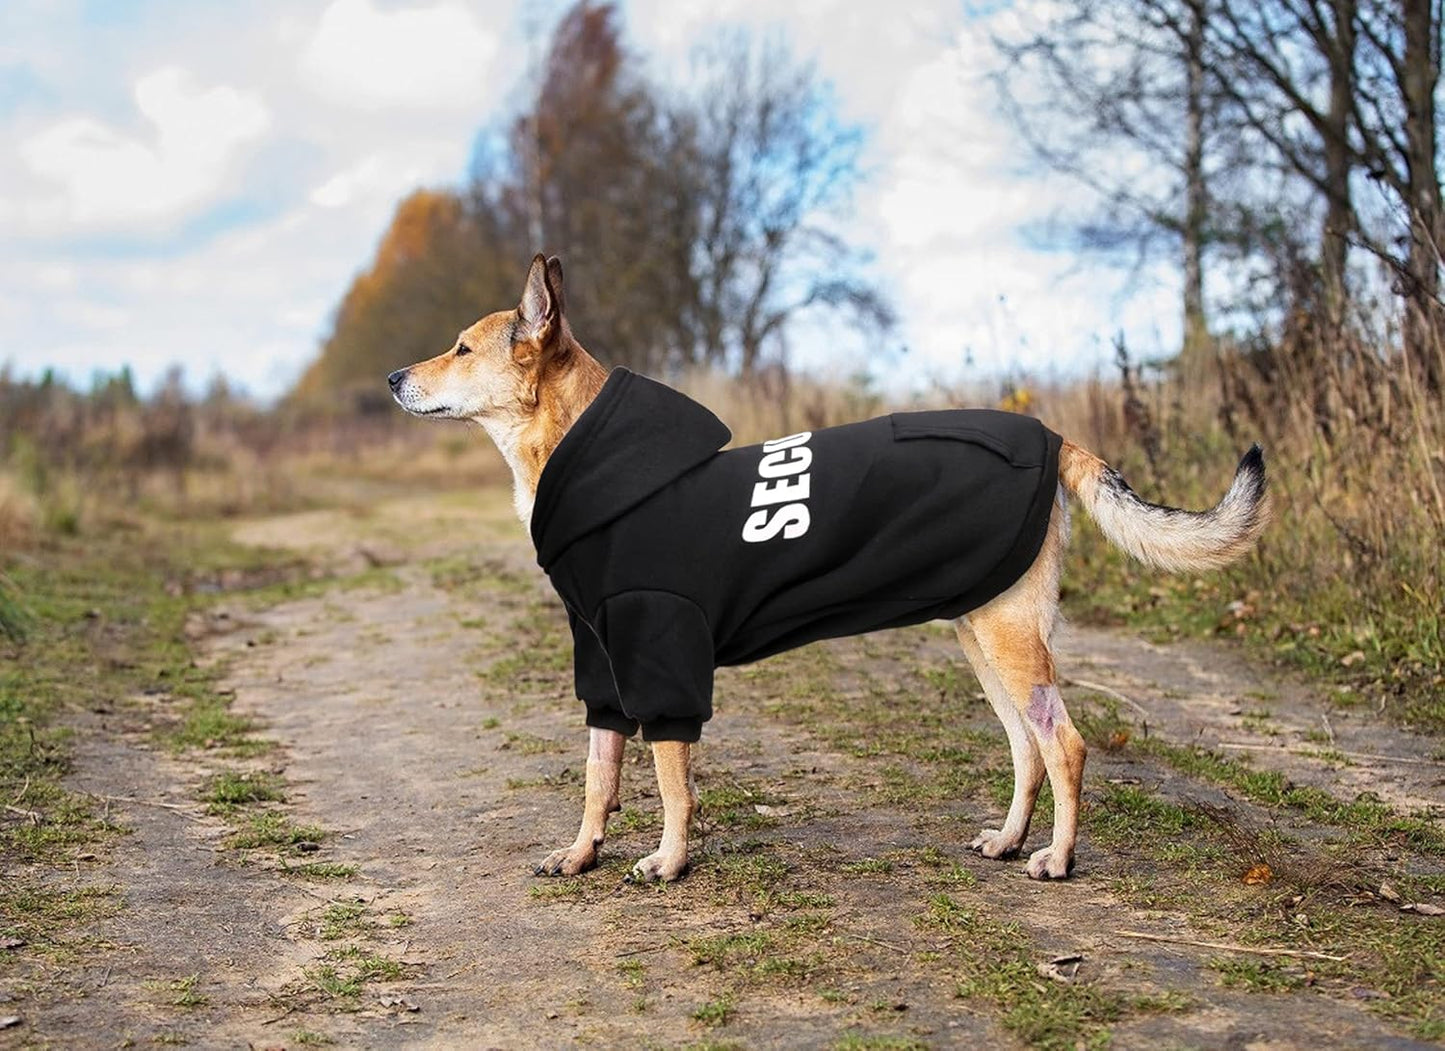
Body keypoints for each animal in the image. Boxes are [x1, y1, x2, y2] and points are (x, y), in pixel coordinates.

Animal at [390, 258, 1271, 884]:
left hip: (1010, 640)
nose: (393, 377)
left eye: (461, 347)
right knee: (1026, 746)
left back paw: (1056, 858)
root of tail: (1054, 438)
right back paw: (1010, 839)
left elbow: (670, 779)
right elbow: (597, 773)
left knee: (1066, 745)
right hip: (982, 637)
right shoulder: (604, 667)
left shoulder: (663, 660)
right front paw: (581, 854)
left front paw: (669, 861)